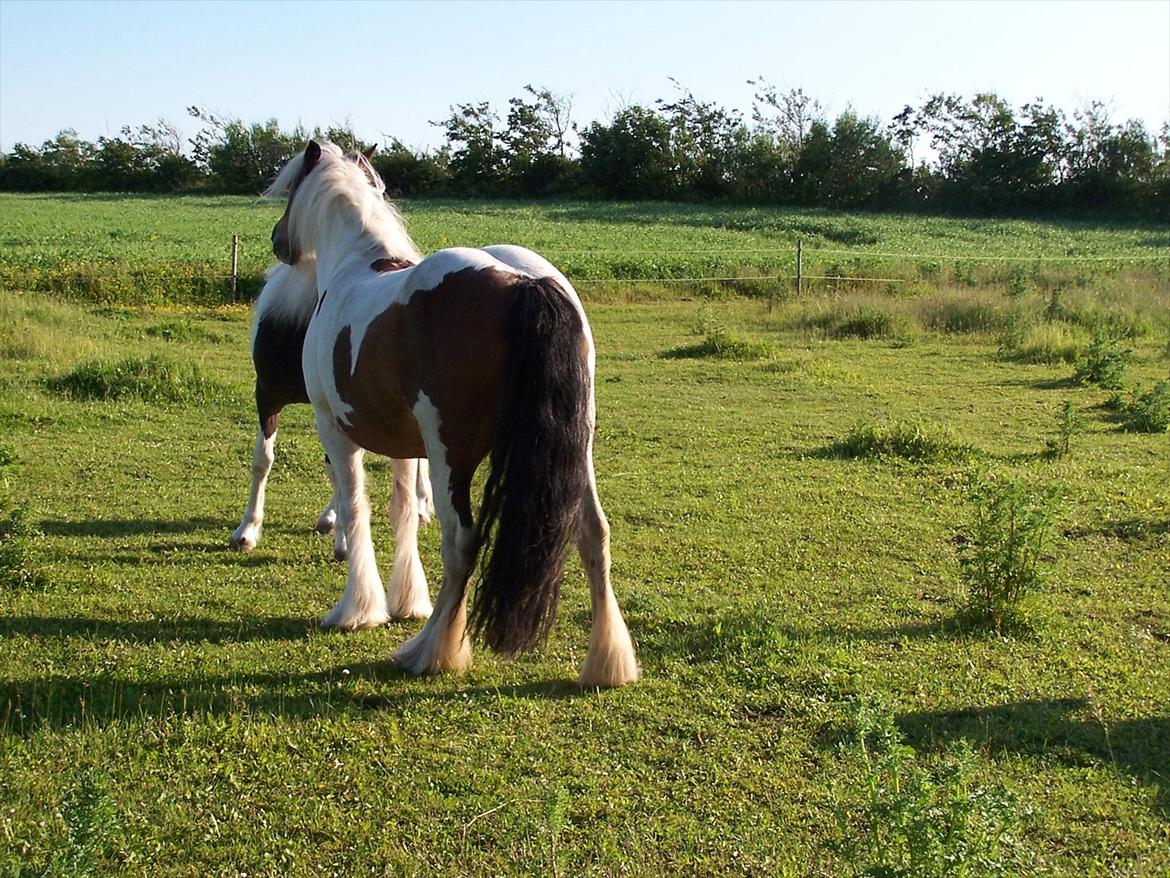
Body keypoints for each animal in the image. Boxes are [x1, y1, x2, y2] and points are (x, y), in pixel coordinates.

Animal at [267, 141, 641, 688]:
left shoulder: (335, 431)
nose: (278, 241)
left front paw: (357, 609)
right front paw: (405, 602)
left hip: (453, 455)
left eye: (291, 186)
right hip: (576, 448)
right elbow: (403, 510)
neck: (356, 265)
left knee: (461, 541)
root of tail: (525, 283)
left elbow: (356, 510)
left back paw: (430, 652)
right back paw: (606, 664)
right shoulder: (406, 446)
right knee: (593, 530)